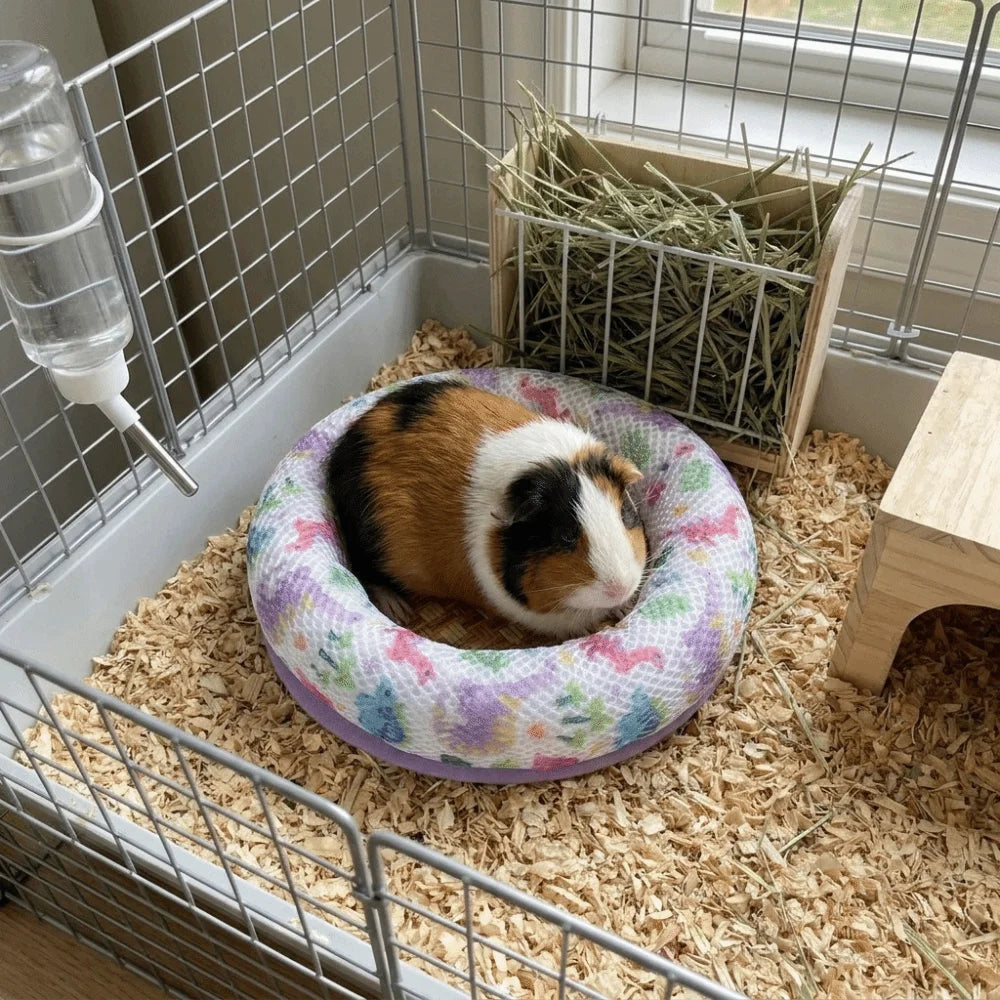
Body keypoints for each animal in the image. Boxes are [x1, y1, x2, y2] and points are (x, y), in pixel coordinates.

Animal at [327, 377, 647, 638]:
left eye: (623, 514)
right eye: (565, 536)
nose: (621, 587)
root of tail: (350, 439)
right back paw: (398, 607)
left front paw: (623, 607)